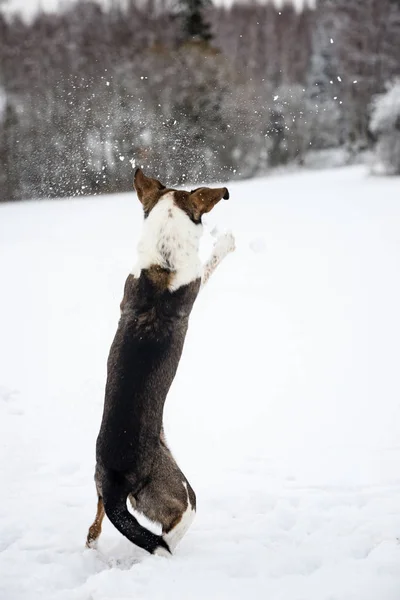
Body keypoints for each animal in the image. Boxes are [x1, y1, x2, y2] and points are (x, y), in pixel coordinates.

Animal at [85, 166, 234, 556]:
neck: (162, 262)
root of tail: (116, 482)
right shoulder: (195, 281)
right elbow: (210, 261)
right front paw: (225, 241)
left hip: (99, 489)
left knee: (94, 525)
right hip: (179, 493)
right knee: (167, 535)